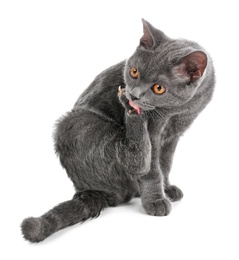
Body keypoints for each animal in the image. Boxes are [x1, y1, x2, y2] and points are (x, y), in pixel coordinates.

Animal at [20, 19, 215, 242]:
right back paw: (131, 111)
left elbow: (165, 165)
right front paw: (156, 200)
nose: (134, 95)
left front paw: (166, 189)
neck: (176, 112)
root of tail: (90, 190)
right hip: (77, 124)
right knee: (135, 160)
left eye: (159, 88)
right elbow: (152, 170)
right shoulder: (155, 134)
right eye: (134, 71)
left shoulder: (173, 136)